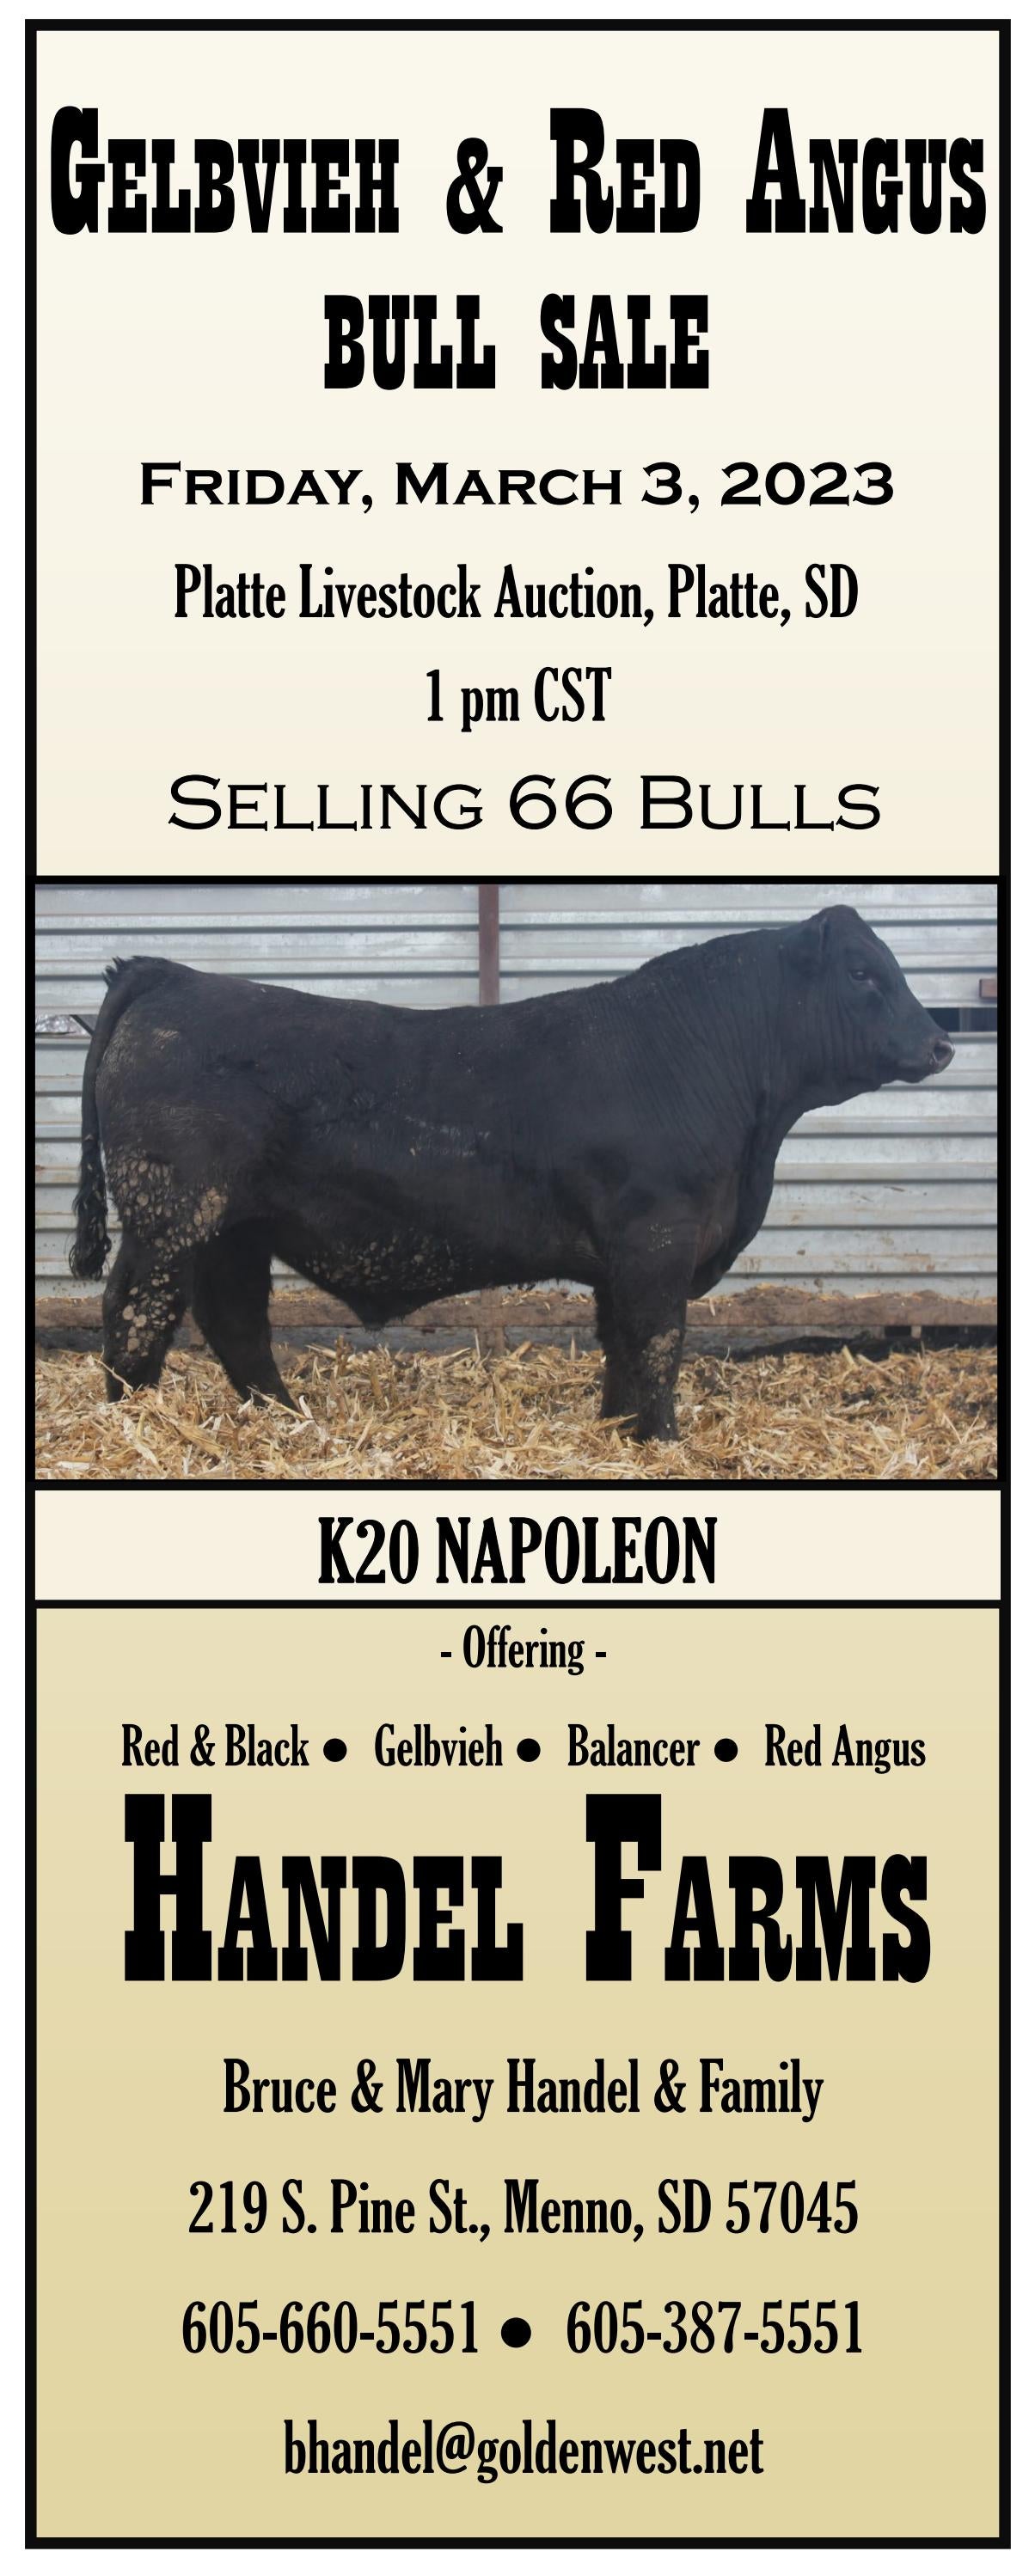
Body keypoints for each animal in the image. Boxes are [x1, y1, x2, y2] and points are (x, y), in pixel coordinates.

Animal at [69, 905, 953, 1441]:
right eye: (862, 973)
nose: (942, 1042)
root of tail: (170, 975)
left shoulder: (626, 1255)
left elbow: (621, 1342)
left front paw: (619, 1432)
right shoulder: (656, 1236)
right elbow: (658, 1339)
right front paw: (662, 1438)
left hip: (235, 1227)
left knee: (235, 1322)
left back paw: (288, 1420)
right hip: (170, 1215)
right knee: (136, 1311)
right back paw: (131, 1425)